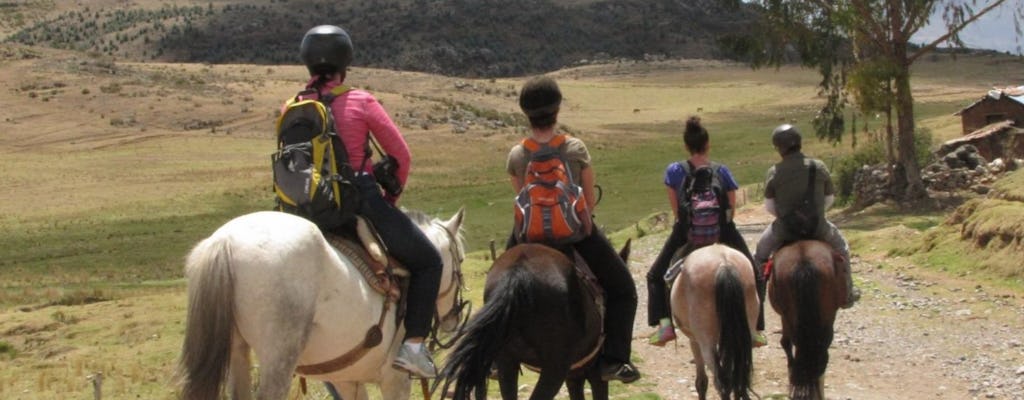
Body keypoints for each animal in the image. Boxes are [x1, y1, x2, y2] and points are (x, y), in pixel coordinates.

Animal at [178, 209, 466, 400]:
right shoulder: (395, 380)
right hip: (279, 358)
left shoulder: (347, 381)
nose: (453, 318)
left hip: (237, 350)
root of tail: (224, 242)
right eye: (460, 260)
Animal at [671, 244, 761, 400]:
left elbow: (701, 381)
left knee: (722, 383)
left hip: (706, 343)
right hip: (744, 338)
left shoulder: (694, 341)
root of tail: (725, 264)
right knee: (738, 377)